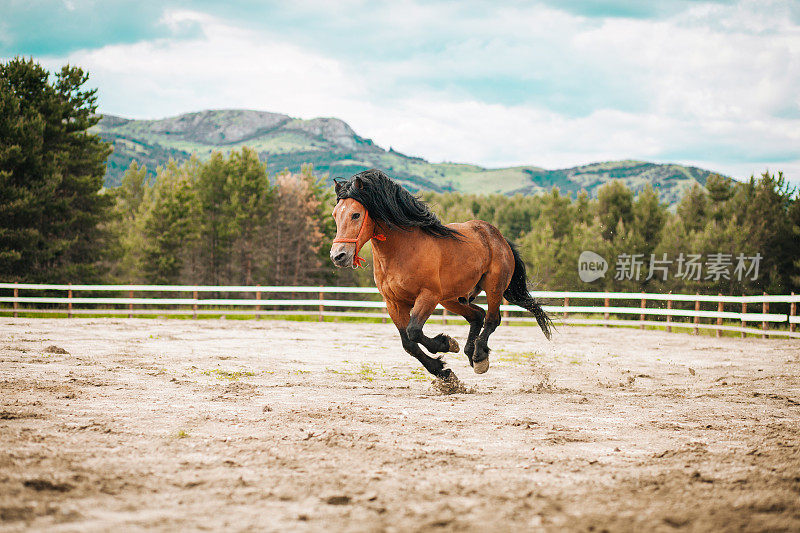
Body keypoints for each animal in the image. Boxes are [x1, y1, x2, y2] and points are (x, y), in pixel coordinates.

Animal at [326, 168, 552, 380]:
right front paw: (442, 371)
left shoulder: (428, 296)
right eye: (335, 215)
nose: (338, 256)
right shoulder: (394, 303)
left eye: (356, 214)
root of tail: (498, 237)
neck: (402, 250)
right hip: (452, 298)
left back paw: (479, 357)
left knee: (492, 319)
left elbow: (414, 331)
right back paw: (470, 352)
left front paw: (446, 344)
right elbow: (408, 343)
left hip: (493, 287)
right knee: (477, 315)